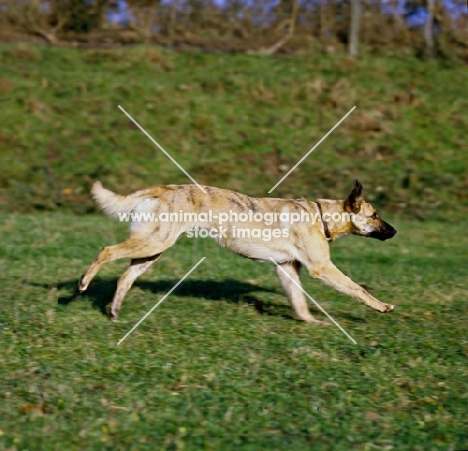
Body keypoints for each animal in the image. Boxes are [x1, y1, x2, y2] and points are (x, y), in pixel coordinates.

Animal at [78, 181, 396, 324]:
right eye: (374, 215)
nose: (394, 232)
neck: (320, 215)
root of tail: (164, 188)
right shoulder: (322, 267)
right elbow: (358, 289)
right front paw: (381, 306)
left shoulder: (287, 269)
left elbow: (300, 304)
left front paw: (311, 323)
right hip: (153, 243)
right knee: (106, 251)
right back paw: (82, 282)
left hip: (152, 250)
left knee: (124, 278)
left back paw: (114, 311)